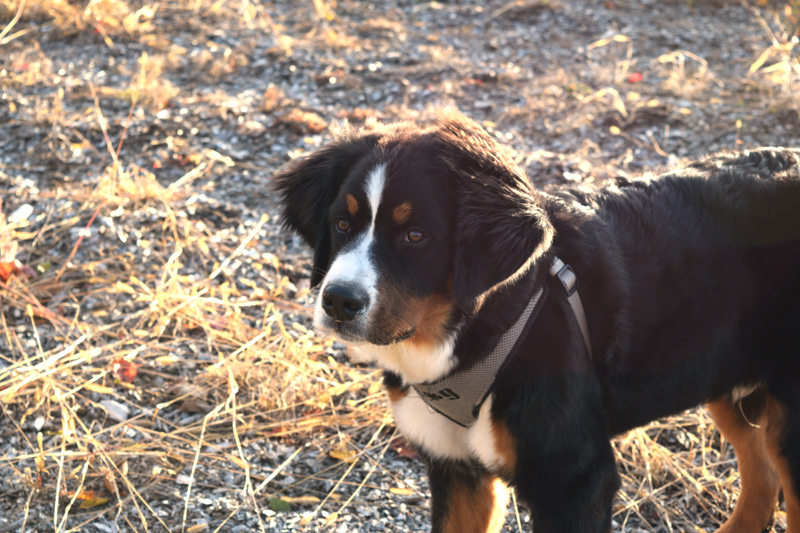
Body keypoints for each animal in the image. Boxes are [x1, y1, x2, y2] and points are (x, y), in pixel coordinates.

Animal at [274, 110, 800, 528]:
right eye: (342, 223)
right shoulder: (457, 469)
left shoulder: (574, 480)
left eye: (416, 235)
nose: (338, 301)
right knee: (761, 477)